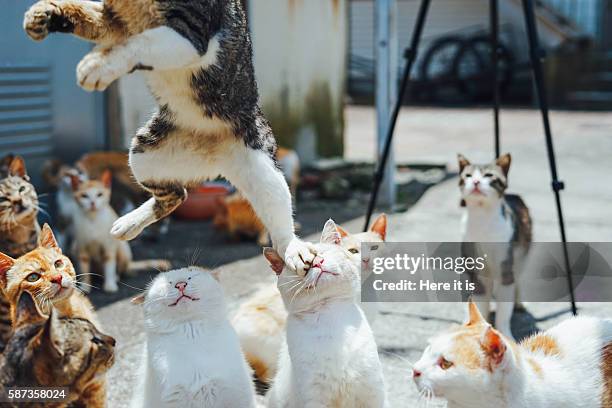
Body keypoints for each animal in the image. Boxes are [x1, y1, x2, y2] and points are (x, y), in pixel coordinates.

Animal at [264, 220, 388, 408]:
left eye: (323, 254)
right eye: (305, 264)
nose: (317, 263)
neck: (328, 314)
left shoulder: (372, 392)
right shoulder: (314, 397)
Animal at [460, 151, 532, 340]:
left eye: (488, 175)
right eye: (468, 176)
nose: (476, 182)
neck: (483, 221)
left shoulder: (505, 265)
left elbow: (504, 311)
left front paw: (504, 334)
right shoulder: (475, 270)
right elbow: (480, 302)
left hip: (521, 255)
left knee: (518, 279)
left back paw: (519, 302)